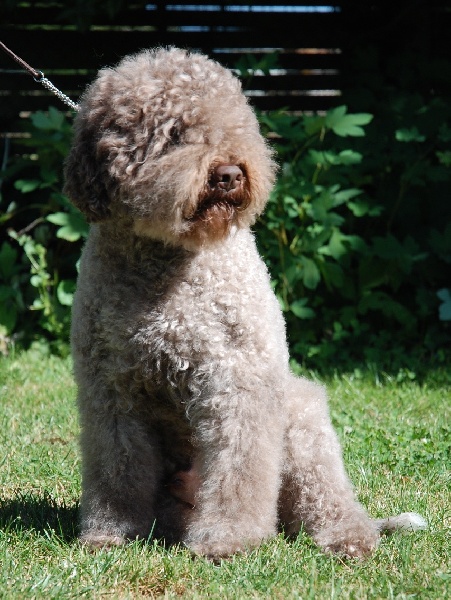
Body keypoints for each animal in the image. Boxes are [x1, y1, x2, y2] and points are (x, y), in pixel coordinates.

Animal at [64, 45, 428, 556]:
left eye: (237, 125)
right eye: (172, 134)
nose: (230, 174)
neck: (170, 267)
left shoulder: (236, 380)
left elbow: (239, 467)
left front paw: (229, 538)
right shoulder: (112, 391)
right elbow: (118, 468)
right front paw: (111, 534)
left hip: (302, 418)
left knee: (325, 500)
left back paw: (349, 537)